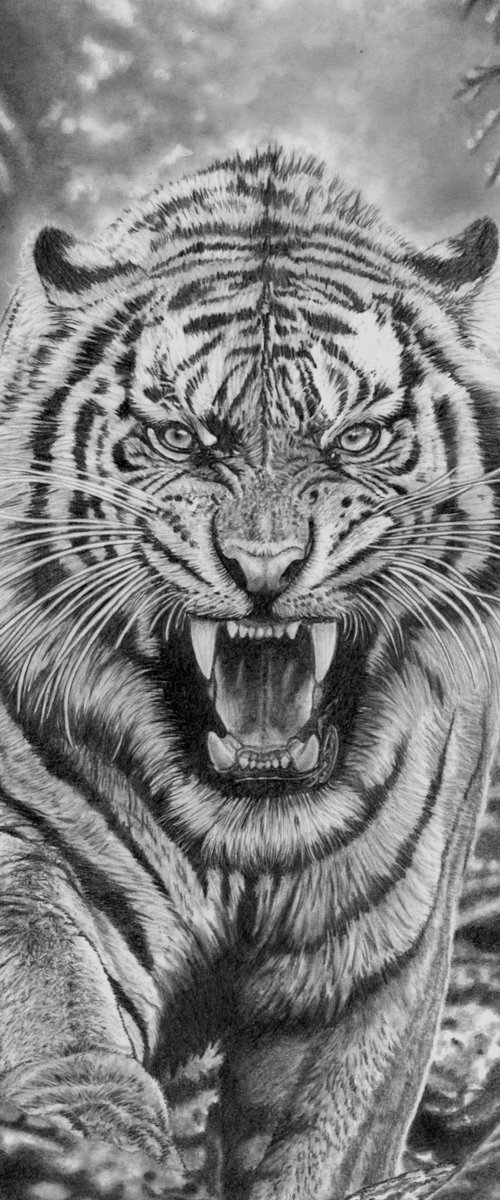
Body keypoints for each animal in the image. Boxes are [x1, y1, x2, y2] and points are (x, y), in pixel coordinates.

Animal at [0, 145, 499, 1200]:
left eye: (356, 438)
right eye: (181, 438)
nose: (265, 567)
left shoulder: (370, 974)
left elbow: (316, 1142)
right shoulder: (30, 848)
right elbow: (51, 996)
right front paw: (90, 1143)